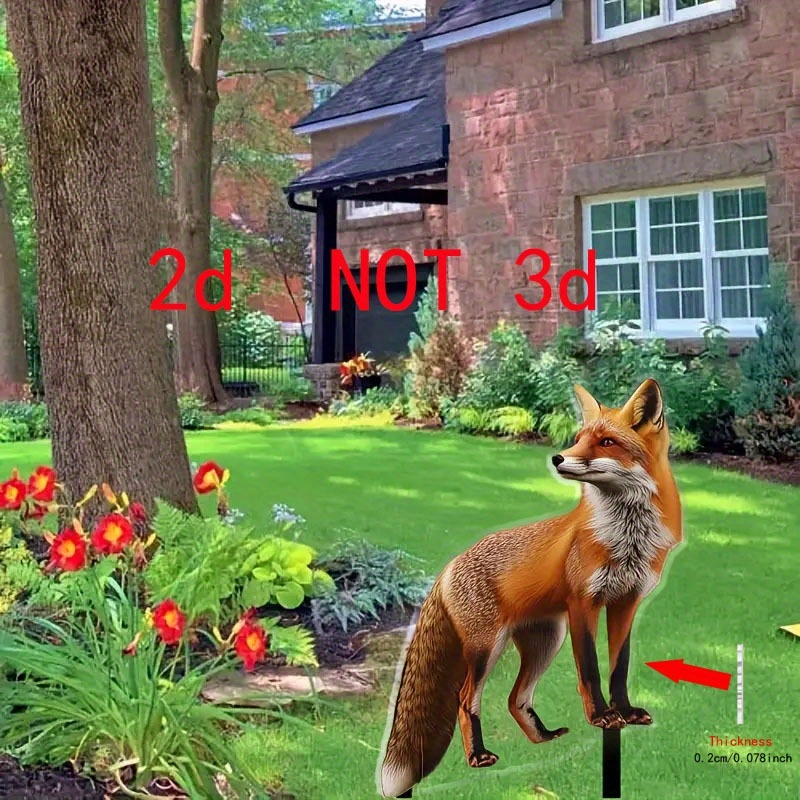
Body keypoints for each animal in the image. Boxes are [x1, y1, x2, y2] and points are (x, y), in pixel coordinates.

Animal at [377, 378, 682, 798]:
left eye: (606, 442)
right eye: (578, 439)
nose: (557, 458)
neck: (627, 537)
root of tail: (450, 565)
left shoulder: (626, 602)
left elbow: (618, 668)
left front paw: (624, 712)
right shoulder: (583, 603)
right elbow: (590, 670)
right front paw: (602, 716)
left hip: (545, 643)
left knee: (514, 698)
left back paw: (543, 737)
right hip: (487, 648)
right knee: (465, 699)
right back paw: (479, 757)